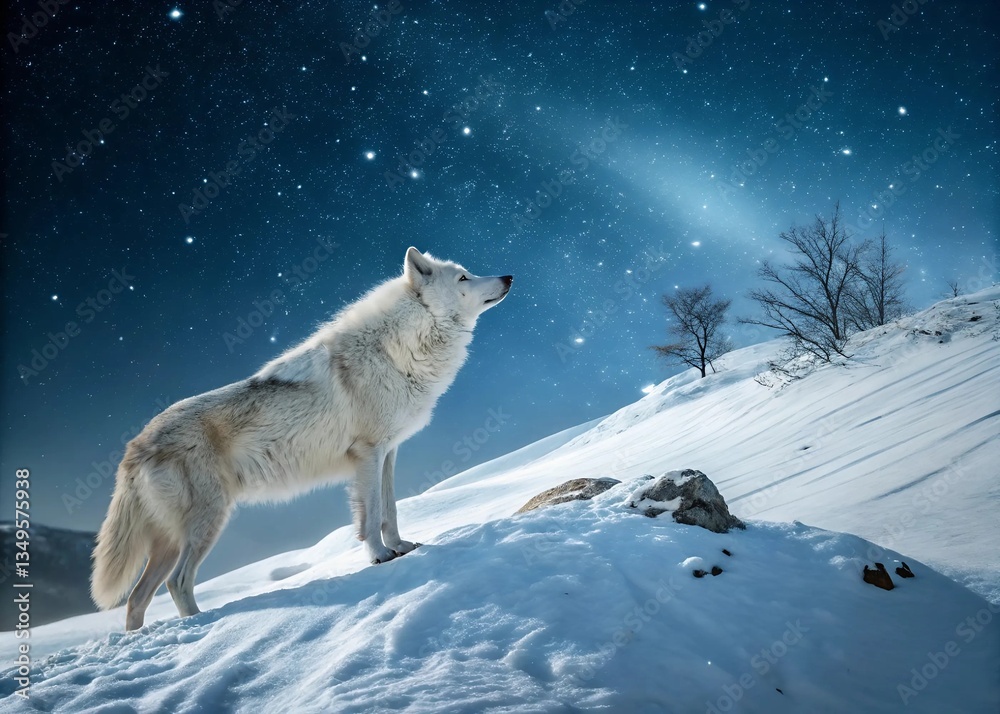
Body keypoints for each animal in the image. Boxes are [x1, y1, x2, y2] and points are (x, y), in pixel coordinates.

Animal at [91, 247, 512, 630]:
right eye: (463, 277)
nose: (509, 277)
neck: (398, 347)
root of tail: (134, 447)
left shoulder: (388, 452)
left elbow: (390, 511)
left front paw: (400, 547)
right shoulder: (368, 453)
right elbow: (372, 514)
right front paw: (379, 556)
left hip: (169, 542)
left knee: (136, 600)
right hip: (206, 524)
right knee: (177, 584)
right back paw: (200, 626)